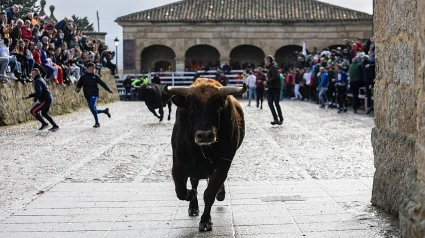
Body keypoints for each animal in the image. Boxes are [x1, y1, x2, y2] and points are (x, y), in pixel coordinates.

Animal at [163, 78, 248, 231]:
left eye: (218, 108)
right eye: (191, 109)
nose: (205, 135)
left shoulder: (223, 165)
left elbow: (209, 193)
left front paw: (205, 220)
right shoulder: (178, 164)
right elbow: (181, 191)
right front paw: (191, 195)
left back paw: (220, 193)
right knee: (194, 183)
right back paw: (193, 206)